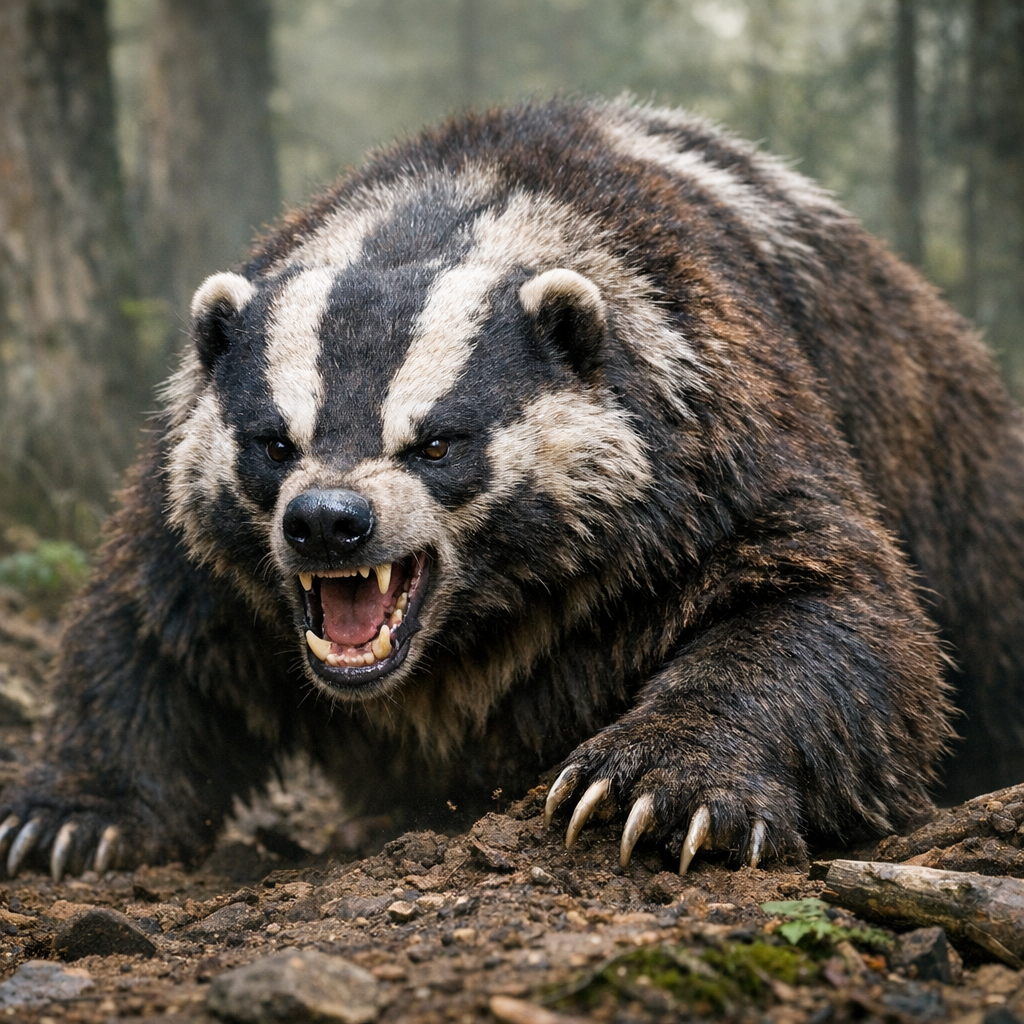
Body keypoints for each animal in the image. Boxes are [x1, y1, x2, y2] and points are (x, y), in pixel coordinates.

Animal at [3, 96, 1024, 881]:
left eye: (437, 443)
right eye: (272, 442)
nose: (328, 523)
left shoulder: (710, 428)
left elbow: (830, 600)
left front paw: (658, 784)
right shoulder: (186, 482)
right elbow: (151, 624)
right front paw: (67, 818)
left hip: (955, 457)